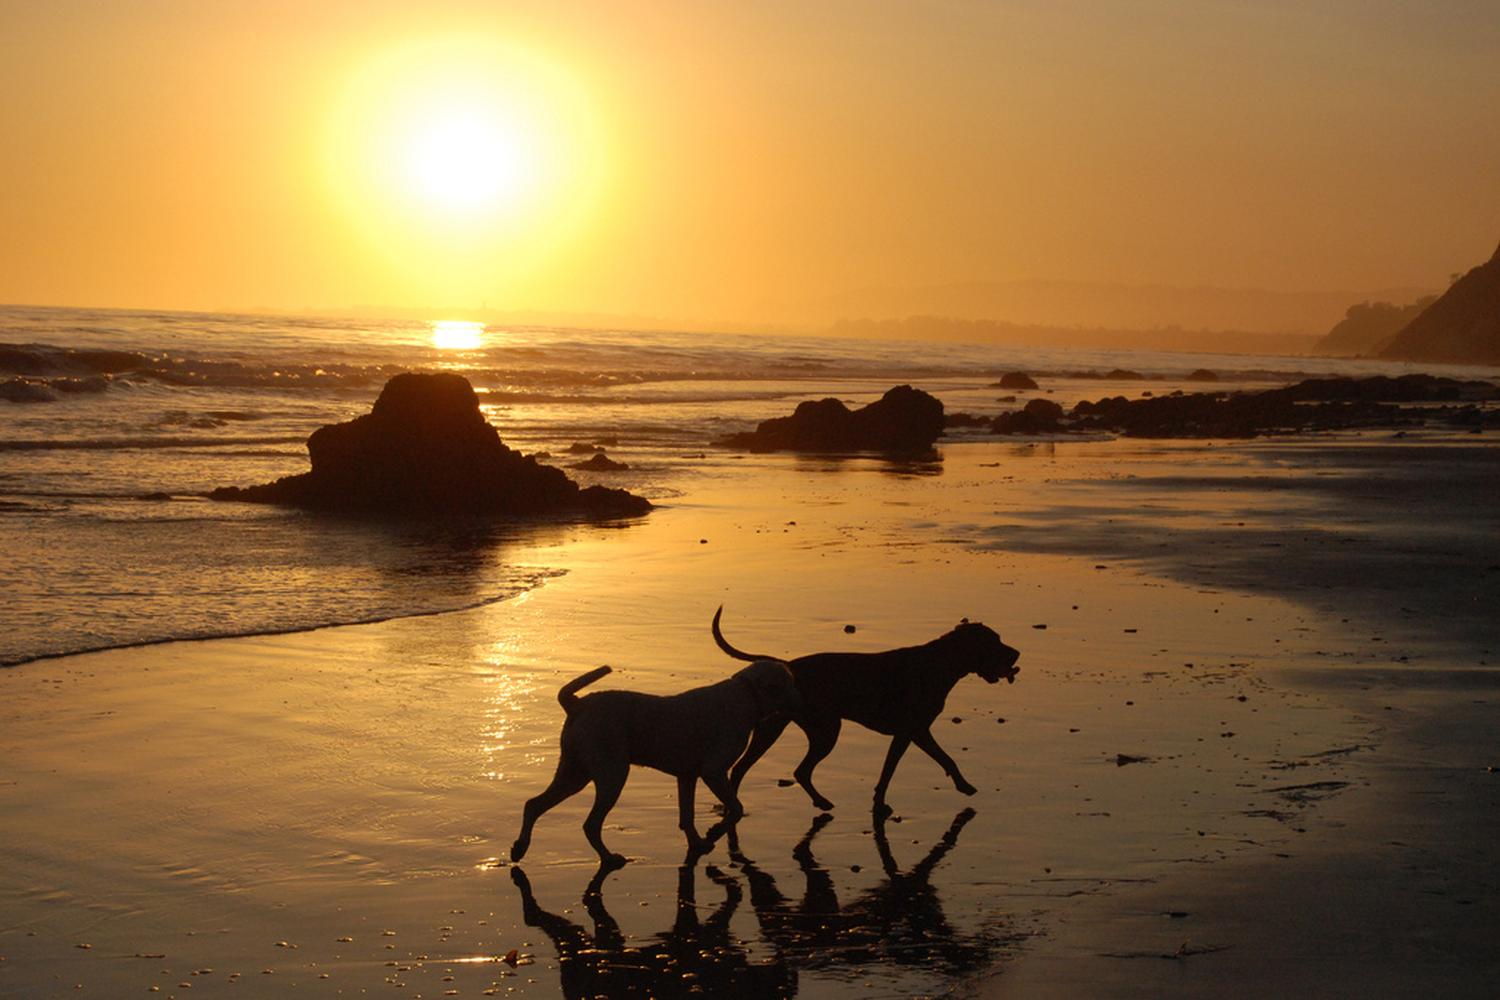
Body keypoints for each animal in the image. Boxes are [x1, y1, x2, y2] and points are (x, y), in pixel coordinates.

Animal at [513, 656, 804, 869]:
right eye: (787, 683)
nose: (802, 698)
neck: (747, 694)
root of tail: (576, 704)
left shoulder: (687, 776)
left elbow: (687, 816)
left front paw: (698, 843)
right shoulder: (714, 771)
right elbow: (736, 808)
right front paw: (714, 835)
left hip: (574, 773)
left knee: (534, 804)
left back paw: (519, 848)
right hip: (612, 774)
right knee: (590, 824)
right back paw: (608, 858)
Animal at [711, 605, 1020, 815]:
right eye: (994, 641)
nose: (1017, 654)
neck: (940, 663)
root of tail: (788, 666)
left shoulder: (915, 732)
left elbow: (933, 761)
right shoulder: (912, 731)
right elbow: (900, 768)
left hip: (789, 729)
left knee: (772, 770)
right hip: (819, 731)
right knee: (781, 769)